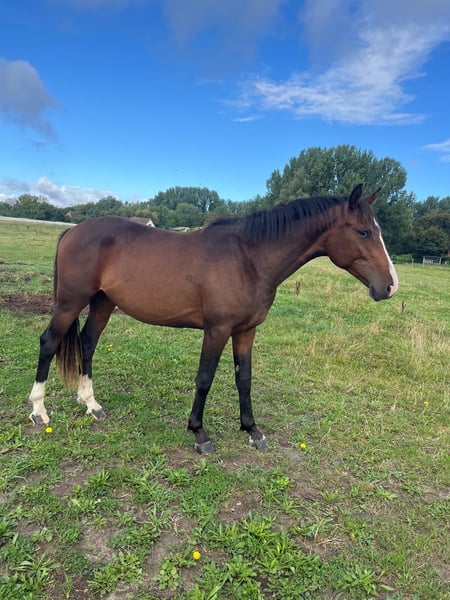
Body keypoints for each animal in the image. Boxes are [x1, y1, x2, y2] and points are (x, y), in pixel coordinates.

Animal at [28, 184, 398, 453]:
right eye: (363, 232)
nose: (390, 286)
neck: (249, 258)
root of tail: (73, 231)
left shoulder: (246, 331)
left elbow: (244, 379)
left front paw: (252, 430)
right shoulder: (217, 330)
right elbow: (204, 378)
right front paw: (200, 434)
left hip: (103, 303)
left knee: (88, 343)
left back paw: (91, 404)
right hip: (70, 303)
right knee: (49, 342)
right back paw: (39, 411)